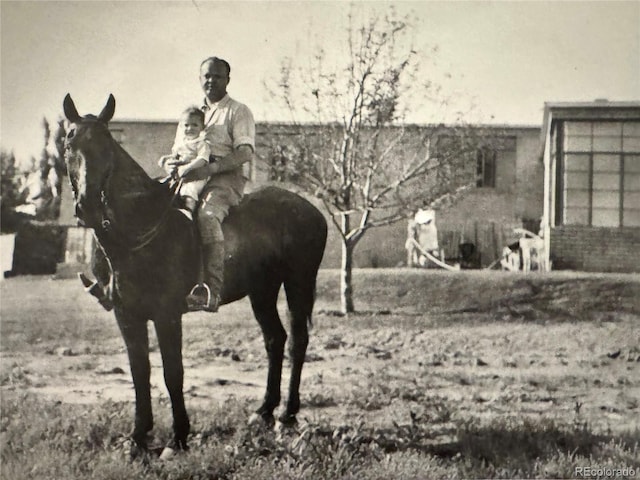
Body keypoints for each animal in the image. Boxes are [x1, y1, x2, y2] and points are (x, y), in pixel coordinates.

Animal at [62, 93, 328, 458]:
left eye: (107, 144)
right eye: (68, 142)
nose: (87, 207)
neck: (138, 228)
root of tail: (312, 211)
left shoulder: (166, 315)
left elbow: (173, 373)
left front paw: (178, 438)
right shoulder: (126, 315)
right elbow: (139, 372)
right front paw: (137, 438)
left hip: (298, 283)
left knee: (297, 341)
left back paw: (287, 415)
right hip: (262, 290)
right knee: (275, 339)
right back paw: (263, 411)